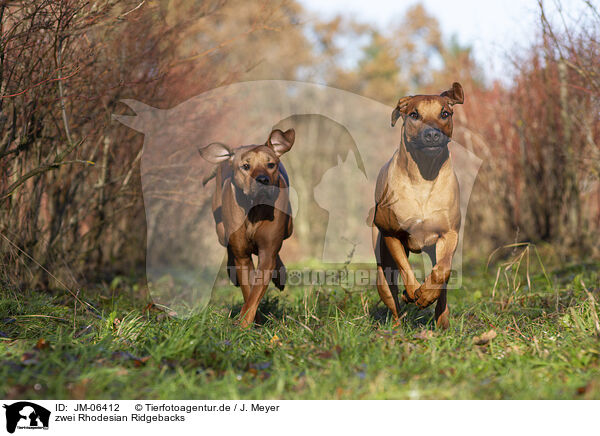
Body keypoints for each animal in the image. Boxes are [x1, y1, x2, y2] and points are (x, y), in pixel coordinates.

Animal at [199, 129, 296, 328]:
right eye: (245, 166)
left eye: (271, 164)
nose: (263, 179)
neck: (254, 209)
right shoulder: (242, 256)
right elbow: (248, 288)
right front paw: (250, 322)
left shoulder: (267, 251)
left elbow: (255, 291)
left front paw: (244, 324)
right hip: (220, 230)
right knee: (228, 247)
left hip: (289, 227)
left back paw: (280, 274)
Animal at [376, 82, 464, 328]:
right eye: (414, 115)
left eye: (445, 113)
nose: (432, 134)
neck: (424, 174)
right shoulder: (391, 234)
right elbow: (405, 267)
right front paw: (413, 291)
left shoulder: (449, 234)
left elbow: (442, 270)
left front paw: (426, 294)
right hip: (381, 268)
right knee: (392, 298)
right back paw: (397, 327)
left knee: (442, 284)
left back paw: (441, 322)